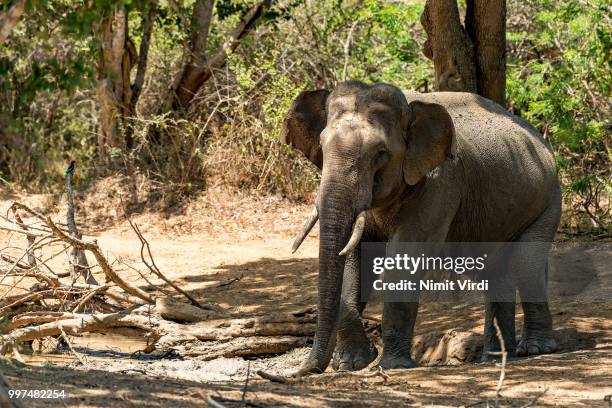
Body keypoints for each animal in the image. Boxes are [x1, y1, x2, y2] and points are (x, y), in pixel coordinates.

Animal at [280, 80, 560, 376]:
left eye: (381, 154)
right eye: (322, 147)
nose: (302, 371)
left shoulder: (439, 182)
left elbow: (406, 254)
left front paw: (392, 365)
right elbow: (357, 258)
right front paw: (351, 364)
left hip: (547, 201)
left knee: (525, 264)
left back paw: (535, 349)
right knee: (495, 270)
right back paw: (494, 358)